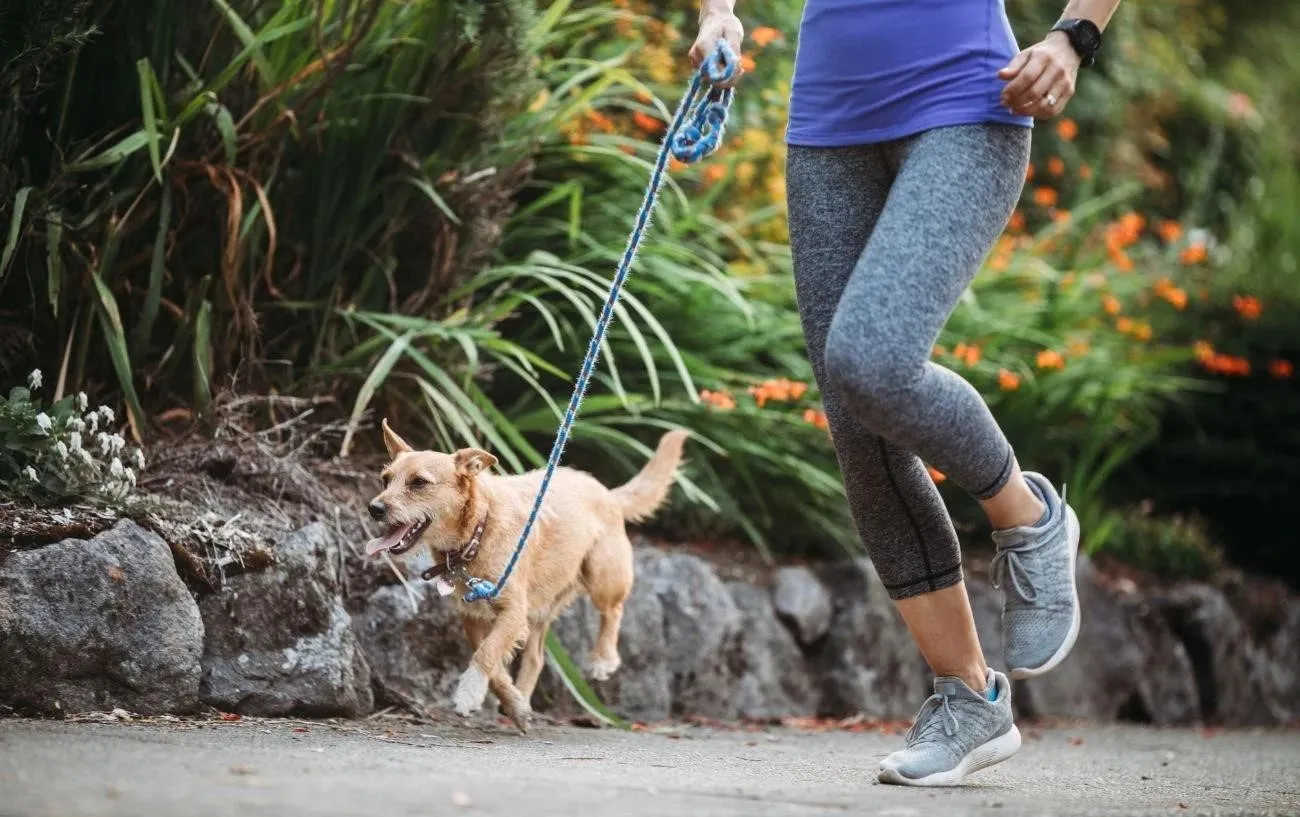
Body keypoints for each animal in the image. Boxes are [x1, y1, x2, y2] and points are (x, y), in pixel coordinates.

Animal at [366, 418, 691, 728]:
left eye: (419, 482)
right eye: (385, 479)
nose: (374, 508)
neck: (479, 528)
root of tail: (607, 492)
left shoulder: (513, 611)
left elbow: (487, 653)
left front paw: (469, 692)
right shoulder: (473, 618)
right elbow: (494, 663)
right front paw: (512, 702)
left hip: (601, 577)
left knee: (613, 611)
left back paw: (603, 659)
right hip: (540, 609)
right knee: (535, 658)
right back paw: (521, 696)